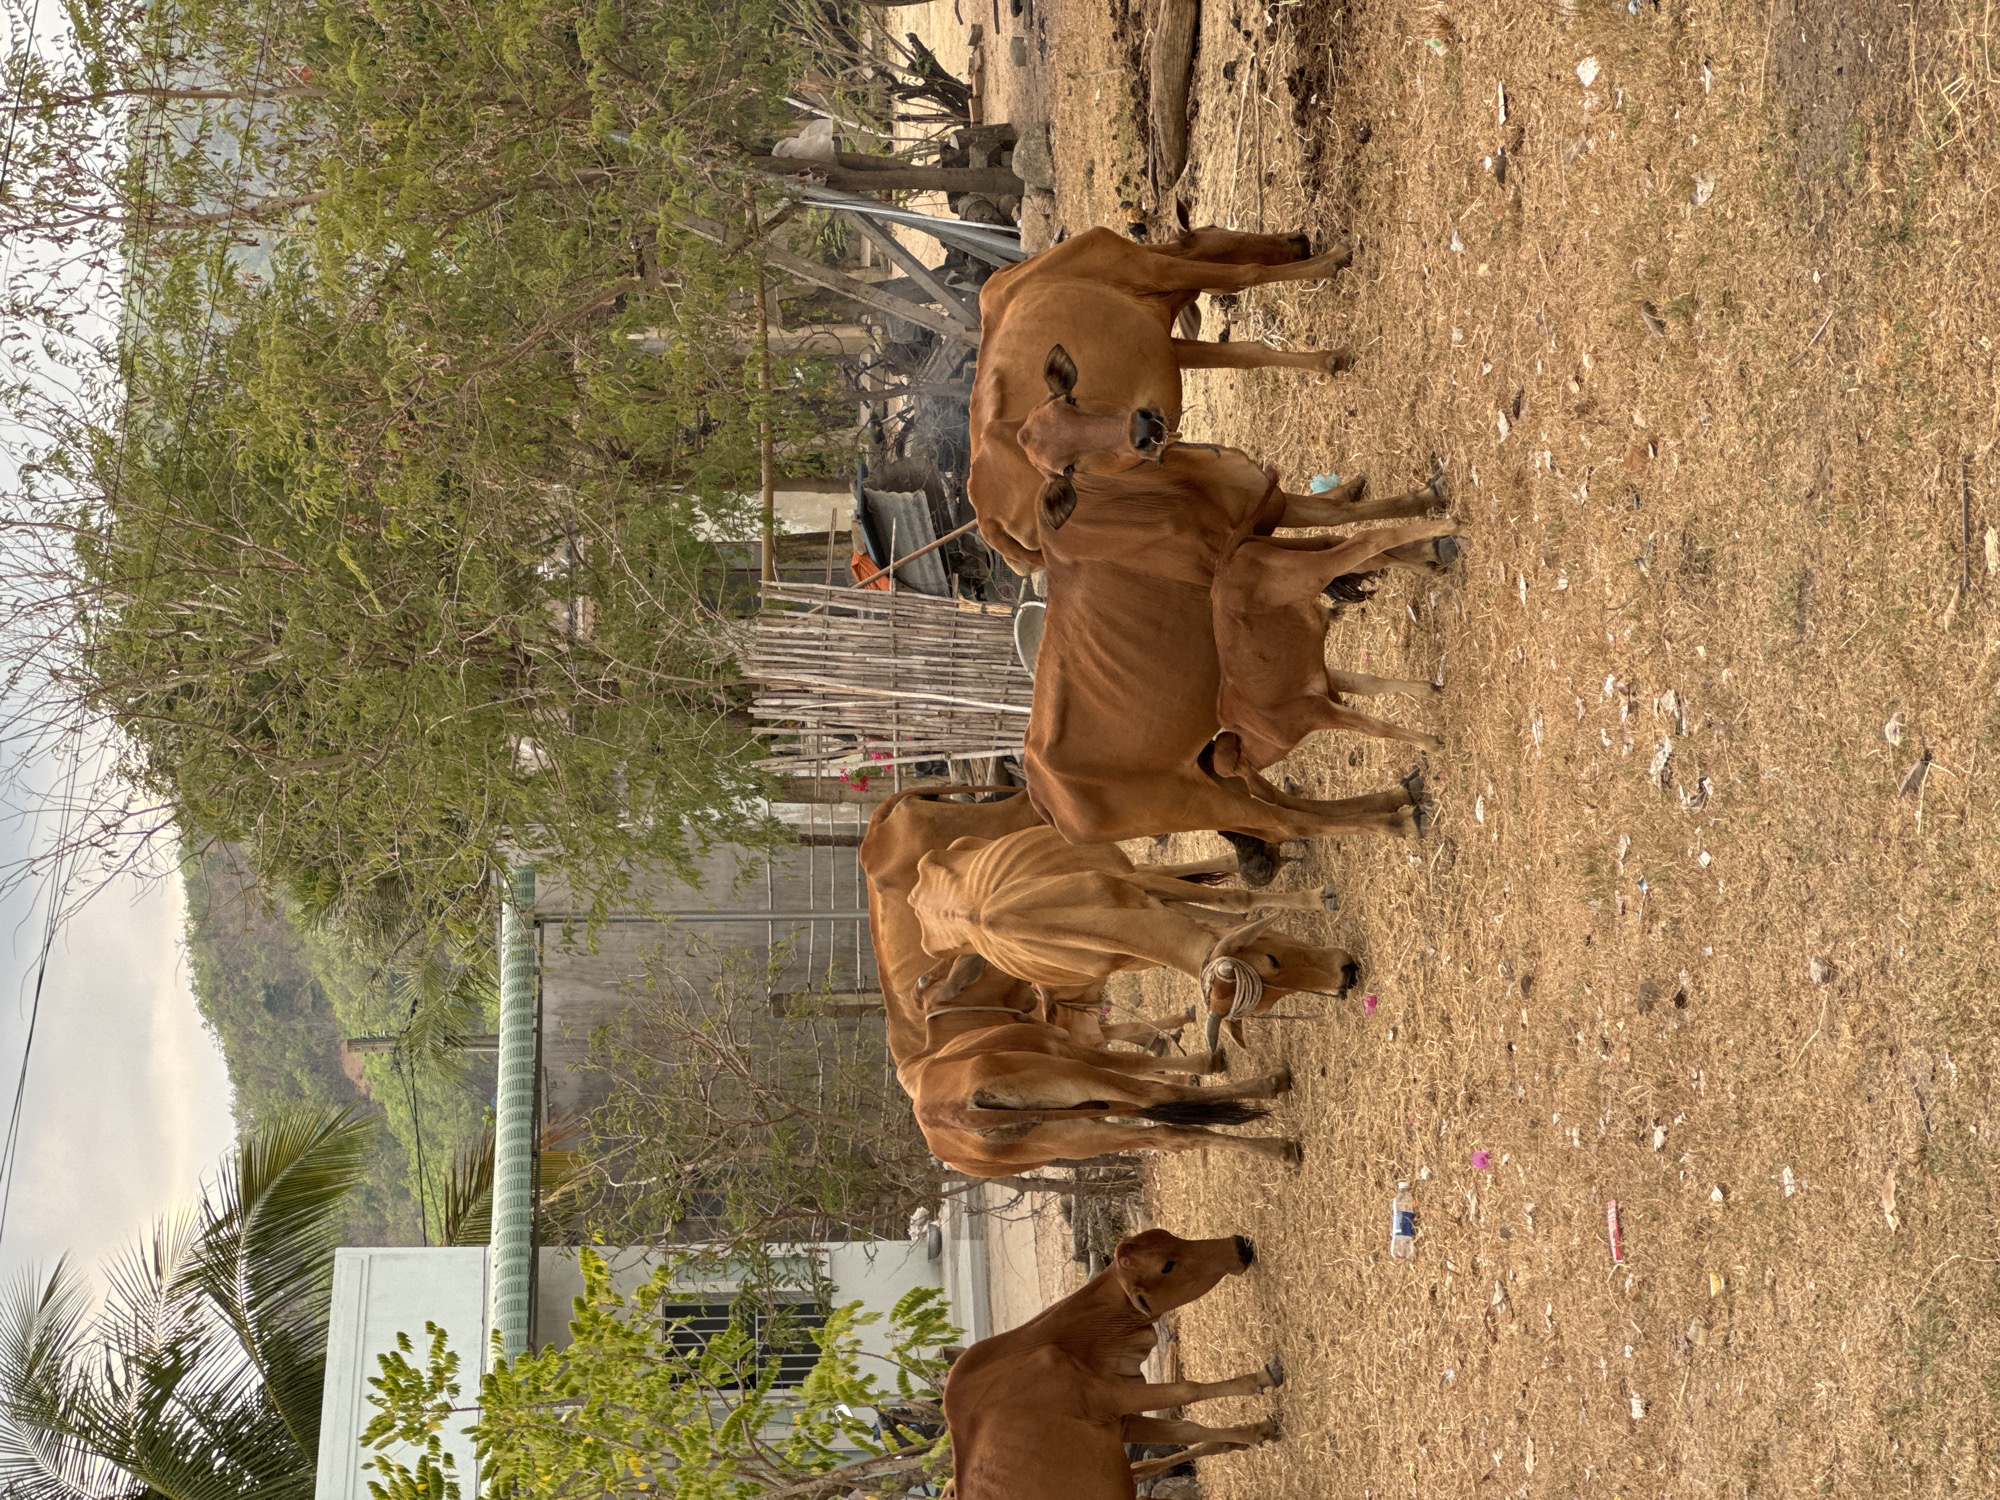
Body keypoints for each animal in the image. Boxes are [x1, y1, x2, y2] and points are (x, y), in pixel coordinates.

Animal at [908, 823, 1357, 1051]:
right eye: (1271, 962)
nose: (1346, 975)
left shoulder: (1143, 889)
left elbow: (1231, 898)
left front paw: (1315, 897)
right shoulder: (1147, 936)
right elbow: (1225, 911)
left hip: (1132, 869)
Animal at [943, 1228, 1282, 1500]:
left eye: (1169, 1236)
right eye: (1166, 1266)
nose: (1238, 1244)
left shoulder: (1120, 1419)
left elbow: (1184, 1429)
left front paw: (1249, 1434)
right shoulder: (1109, 1397)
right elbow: (1188, 1391)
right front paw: (1262, 1382)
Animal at [968, 225, 1358, 573]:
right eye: (1223, 231)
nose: (1299, 239)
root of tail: (989, 522)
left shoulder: (1168, 342)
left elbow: (1247, 354)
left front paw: (1329, 360)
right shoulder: (1153, 268)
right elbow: (1249, 271)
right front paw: (1332, 260)